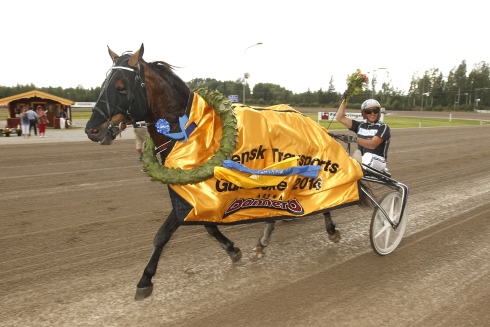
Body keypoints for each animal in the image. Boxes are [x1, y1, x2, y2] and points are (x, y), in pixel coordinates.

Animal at [85, 44, 372, 302]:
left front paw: (145, 280)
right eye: (103, 84)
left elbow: (162, 235)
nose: (92, 130)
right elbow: (208, 227)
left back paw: (328, 230)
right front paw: (233, 250)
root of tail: (312, 122)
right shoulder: (198, 194)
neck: (193, 128)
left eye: (121, 87)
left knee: (320, 200)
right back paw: (265, 241)